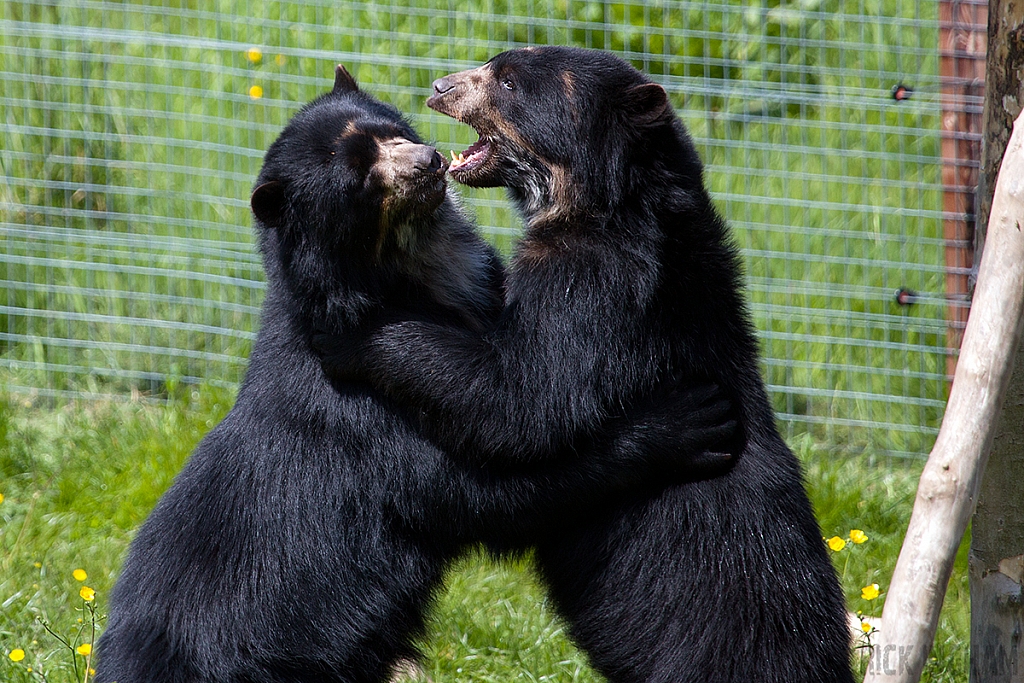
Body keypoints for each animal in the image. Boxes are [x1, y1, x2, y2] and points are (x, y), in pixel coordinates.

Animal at [96, 65, 737, 683]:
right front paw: (687, 424)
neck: (408, 267)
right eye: (360, 178)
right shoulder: (368, 416)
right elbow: (488, 483)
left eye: (390, 131)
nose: (428, 161)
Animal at [317, 48, 856, 683]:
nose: (440, 86)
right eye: (495, 63)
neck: (600, 202)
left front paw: (352, 333)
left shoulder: (594, 283)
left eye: (508, 81)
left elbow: (522, 396)